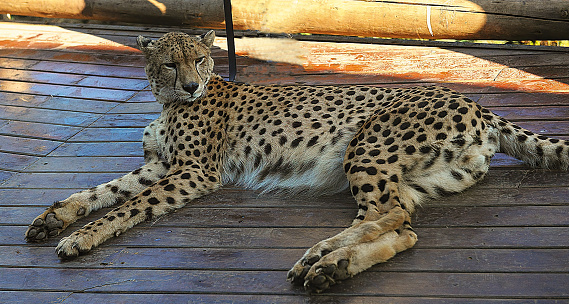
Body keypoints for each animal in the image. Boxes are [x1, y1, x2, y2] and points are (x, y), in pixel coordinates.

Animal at [24, 30, 568, 292]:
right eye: (170, 64)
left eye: (198, 60)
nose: (192, 85)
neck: (168, 102)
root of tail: (476, 103)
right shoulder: (161, 166)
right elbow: (102, 192)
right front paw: (56, 218)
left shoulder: (193, 173)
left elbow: (126, 207)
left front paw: (80, 238)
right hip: (423, 175)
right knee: (405, 224)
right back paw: (333, 265)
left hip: (365, 145)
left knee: (390, 214)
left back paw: (324, 257)